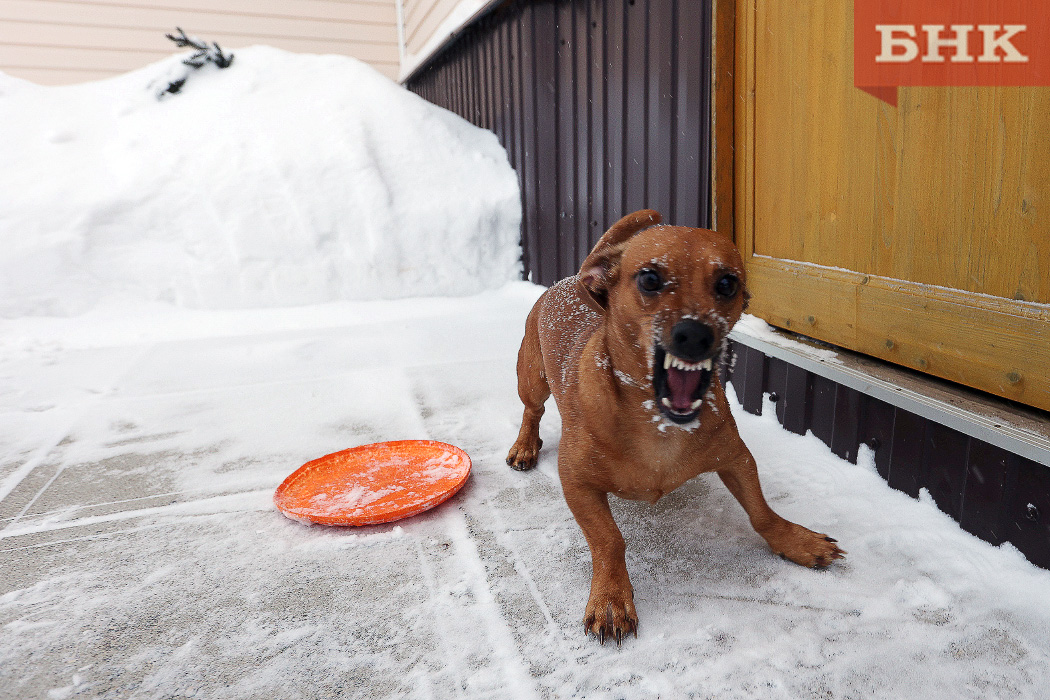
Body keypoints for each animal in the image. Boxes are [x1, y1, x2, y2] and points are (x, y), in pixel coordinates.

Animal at [506, 209, 844, 646]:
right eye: (650, 279)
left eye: (727, 283)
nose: (695, 335)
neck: (656, 423)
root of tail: (564, 281)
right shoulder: (576, 482)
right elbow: (609, 539)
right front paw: (611, 598)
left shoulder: (737, 458)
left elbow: (761, 511)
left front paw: (795, 541)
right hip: (531, 377)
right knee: (532, 410)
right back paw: (525, 446)